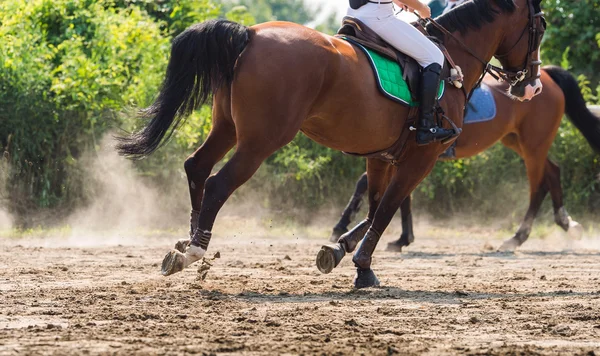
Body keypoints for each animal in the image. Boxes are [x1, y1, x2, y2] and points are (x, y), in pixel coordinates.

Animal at [116, 0, 544, 288]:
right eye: (539, 26)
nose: (532, 86)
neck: (452, 59)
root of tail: (251, 35)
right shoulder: (421, 158)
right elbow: (387, 209)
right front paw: (363, 268)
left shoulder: (381, 156)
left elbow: (374, 207)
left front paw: (340, 251)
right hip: (261, 140)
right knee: (219, 182)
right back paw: (195, 249)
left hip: (227, 127)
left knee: (197, 166)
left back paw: (185, 244)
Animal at [330, 64, 600, 253]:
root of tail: (545, 75)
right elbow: (400, 194)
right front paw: (403, 239)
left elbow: (367, 183)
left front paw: (340, 227)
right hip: (518, 141)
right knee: (552, 171)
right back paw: (567, 224)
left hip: (533, 144)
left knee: (538, 185)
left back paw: (517, 237)